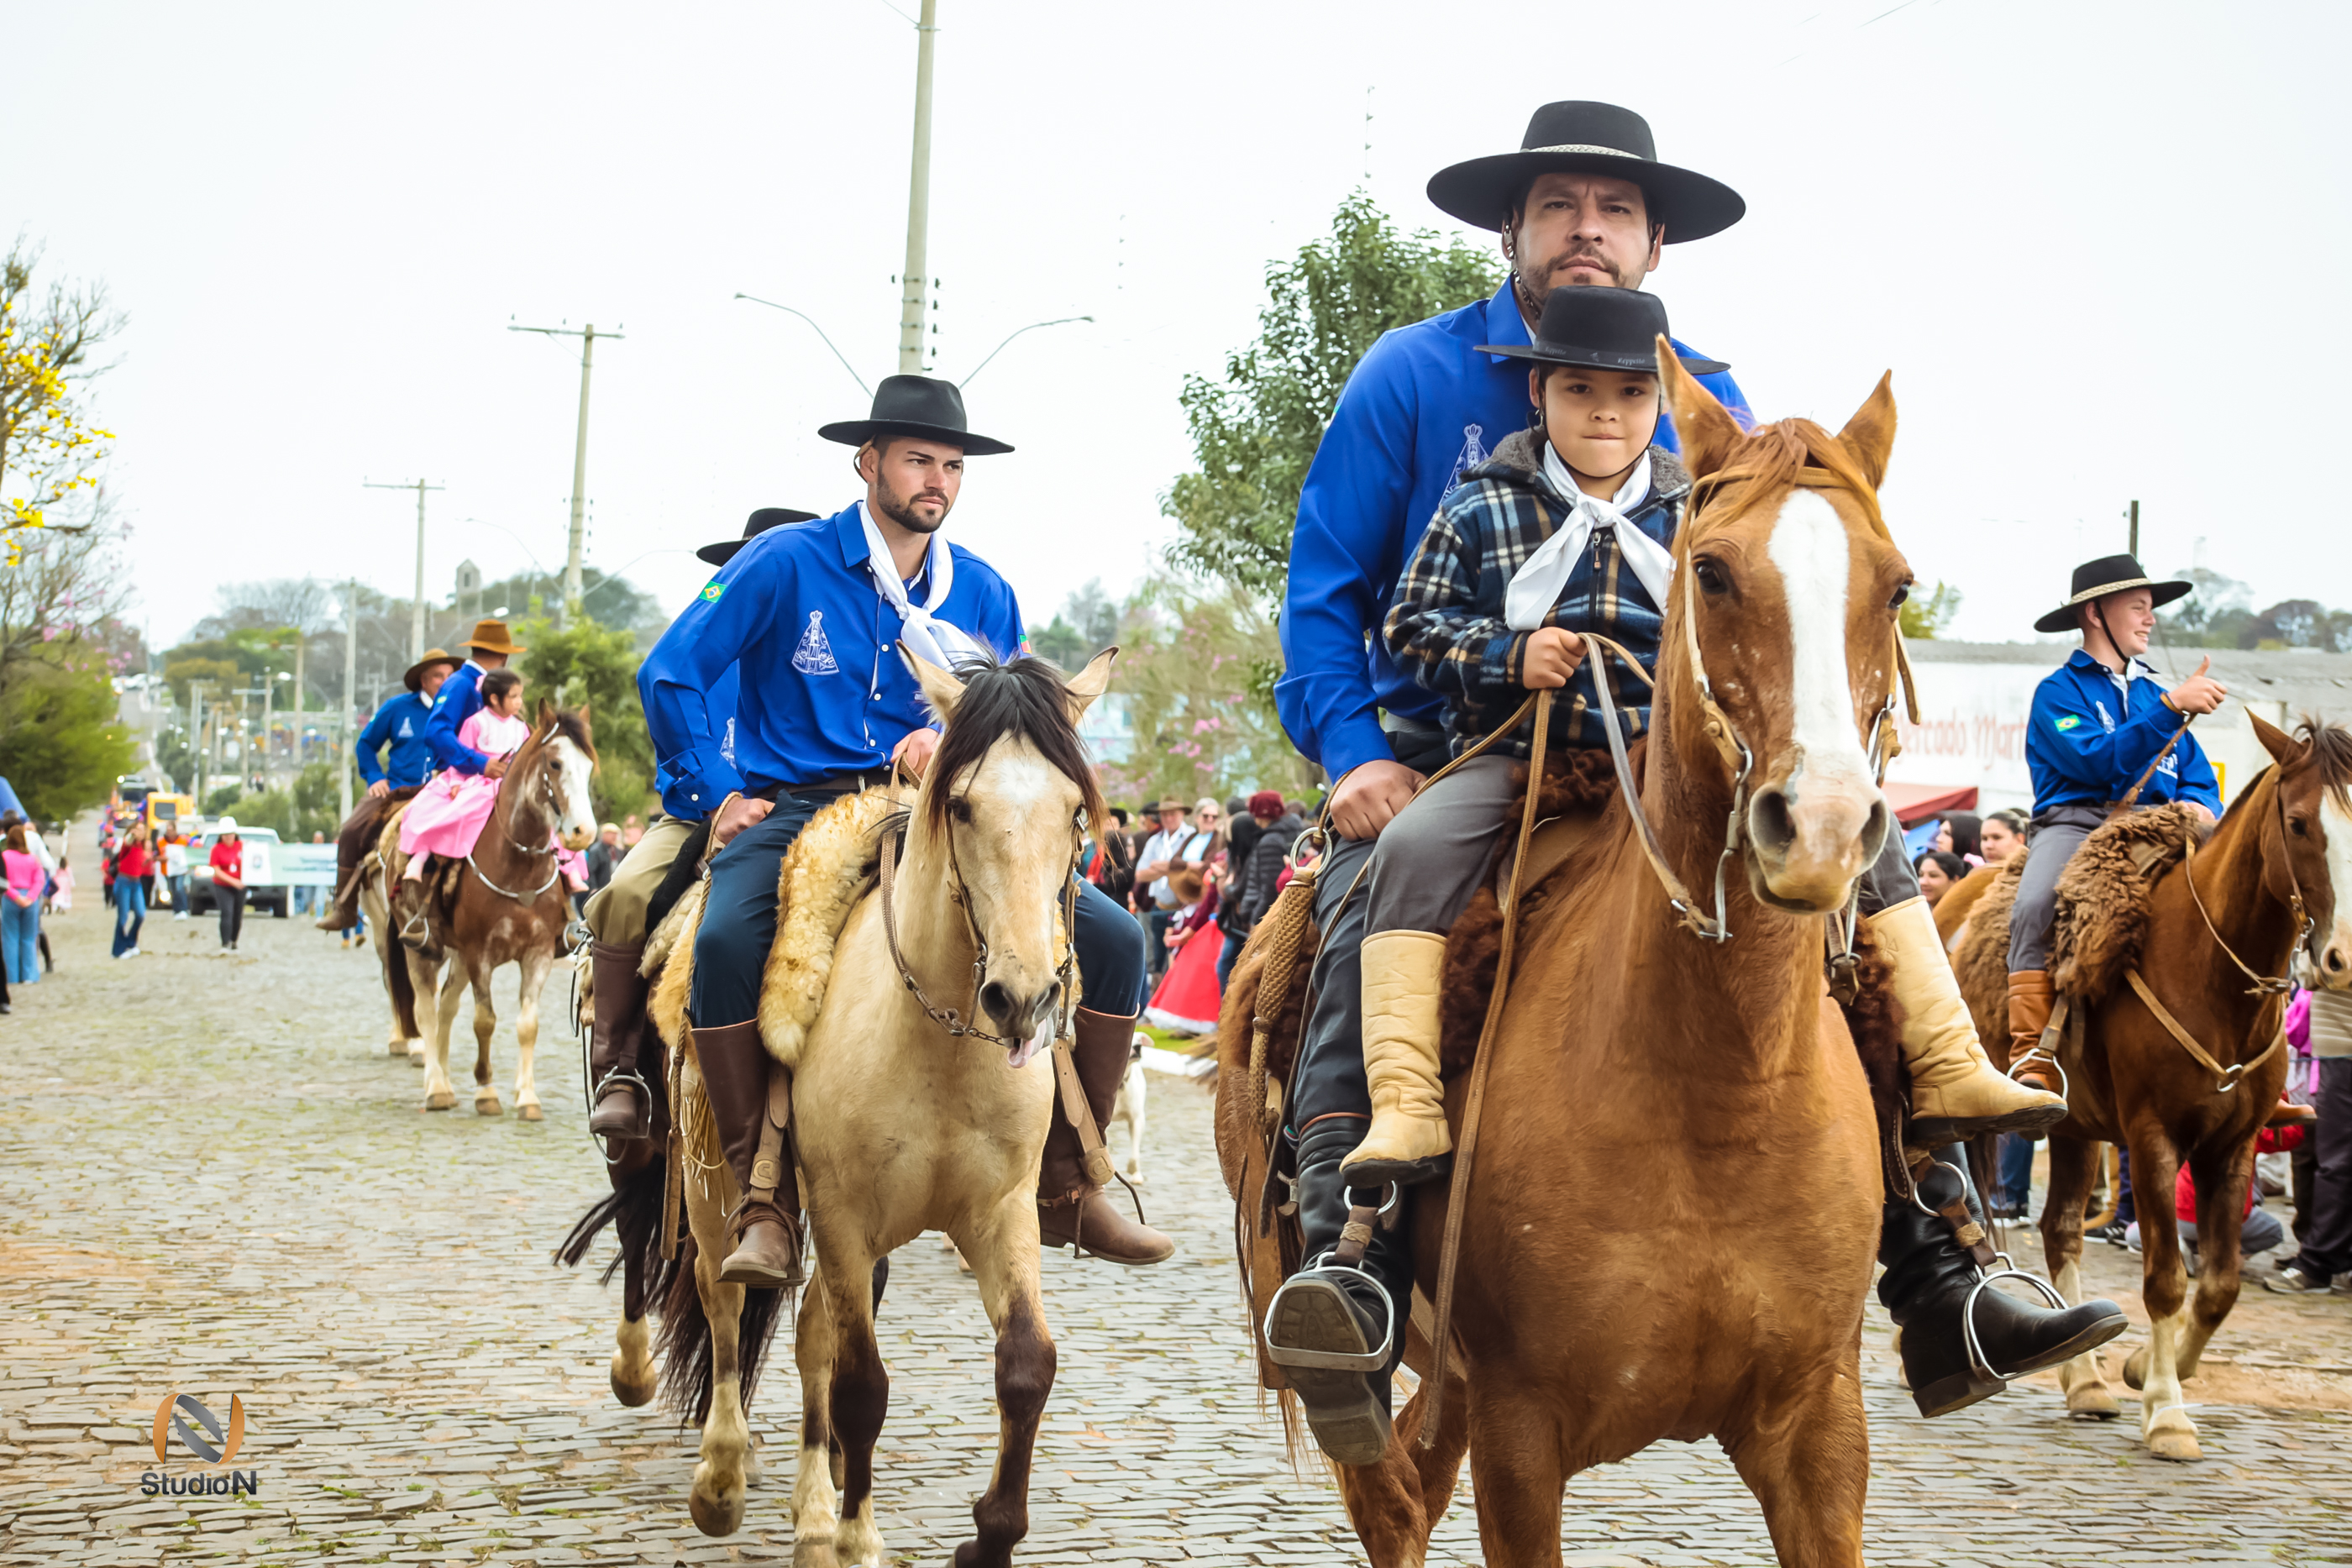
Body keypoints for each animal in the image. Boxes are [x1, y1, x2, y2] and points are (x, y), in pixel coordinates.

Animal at [394, 700, 597, 1117]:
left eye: (587, 765)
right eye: (555, 763)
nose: (583, 833)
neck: (518, 867)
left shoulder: (537, 955)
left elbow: (527, 1025)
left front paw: (528, 1098)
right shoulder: (480, 955)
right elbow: (485, 1021)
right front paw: (486, 1091)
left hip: (457, 956)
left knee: (446, 1008)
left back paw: (447, 1085)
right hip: (423, 949)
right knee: (426, 1012)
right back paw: (435, 1086)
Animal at [635, 648, 1114, 1560]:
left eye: (1075, 812)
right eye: (961, 804)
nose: (1024, 997)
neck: (940, 1042)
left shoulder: (999, 1211)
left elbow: (1026, 1364)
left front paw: (987, 1536)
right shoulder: (843, 1214)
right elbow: (862, 1385)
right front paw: (858, 1538)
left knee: (811, 1336)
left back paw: (815, 1507)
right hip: (717, 1190)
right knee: (722, 1301)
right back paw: (723, 1479)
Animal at [1220, 356, 1912, 1568]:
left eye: (1895, 587)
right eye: (1712, 572)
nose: (1825, 827)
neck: (1715, 1093)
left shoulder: (1819, 1428)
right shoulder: (1521, 1431)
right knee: (1388, 1501)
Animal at [1955, 714, 2352, 1459]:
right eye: (2298, 822)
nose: (2341, 957)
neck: (2213, 974)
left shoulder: (2234, 1146)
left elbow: (2219, 1285)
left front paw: (2144, 1368)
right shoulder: (2152, 1139)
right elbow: (2167, 1277)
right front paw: (2168, 1412)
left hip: (2074, 1128)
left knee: (2061, 1230)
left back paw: (2085, 1380)